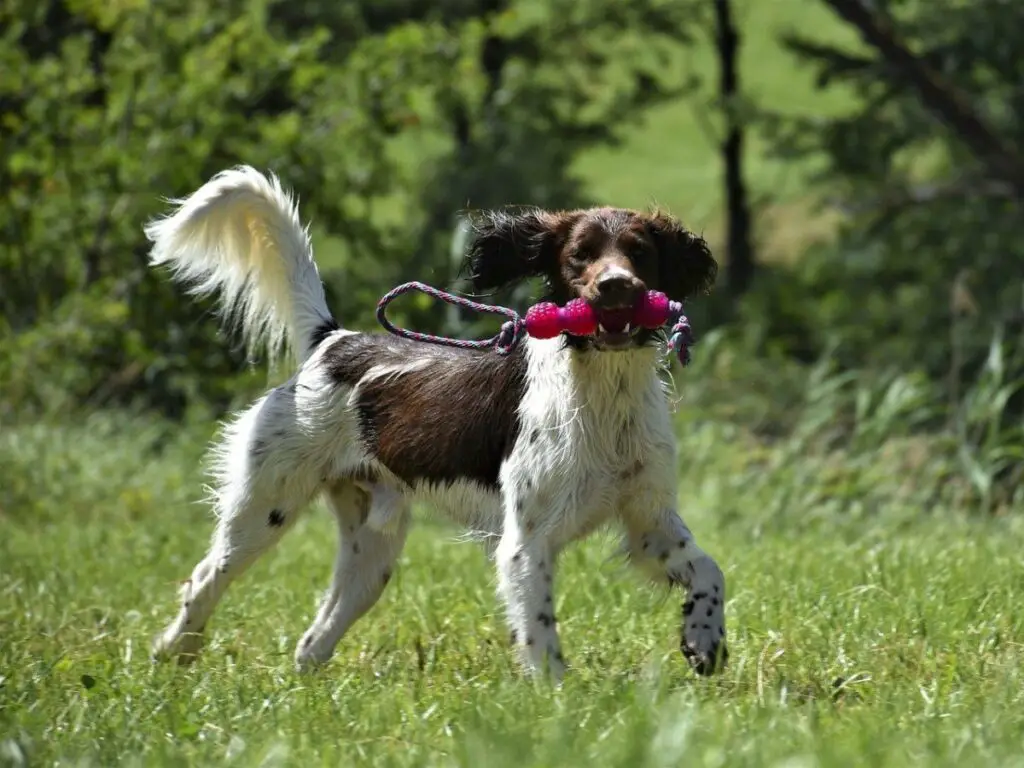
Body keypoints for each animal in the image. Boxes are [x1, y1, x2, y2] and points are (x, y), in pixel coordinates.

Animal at [148, 166, 733, 679]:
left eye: (640, 253)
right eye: (580, 256)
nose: (615, 285)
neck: (605, 392)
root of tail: (334, 341)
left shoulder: (649, 518)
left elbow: (710, 571)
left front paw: (703, 640)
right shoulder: (526, 543)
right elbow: (540, 635)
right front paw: (558, 702)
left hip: (372, 549)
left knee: (315, 637)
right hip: (264, 504)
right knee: (204, 579)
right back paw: (173, 653)